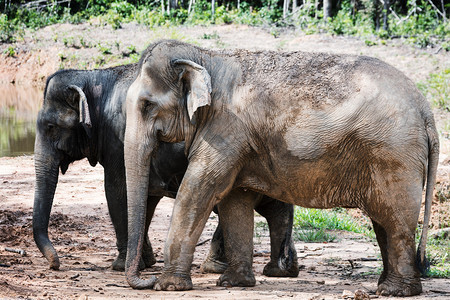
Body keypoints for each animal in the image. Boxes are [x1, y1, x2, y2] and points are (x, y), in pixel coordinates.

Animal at [31, 64, 298, 278]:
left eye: (50, 126)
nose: (56, 265)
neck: (95, 77)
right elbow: (144, 199)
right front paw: (144, 262)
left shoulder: (118, 141)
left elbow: (117, 192)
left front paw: (121, 266)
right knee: (274, 207)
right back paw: (281, 270)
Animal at [124, 39, 440, 296]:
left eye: (147, 105)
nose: (146, 279)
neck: (205, 56)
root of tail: (426, 111)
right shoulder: (238, 140)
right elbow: (234, 201)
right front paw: (234, 283)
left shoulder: (226, 131)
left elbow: (198, 191)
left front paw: (168, 286)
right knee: (382, 219)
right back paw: (386, 286)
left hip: (394, 154)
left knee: (395, 220)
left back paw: (396, 291)